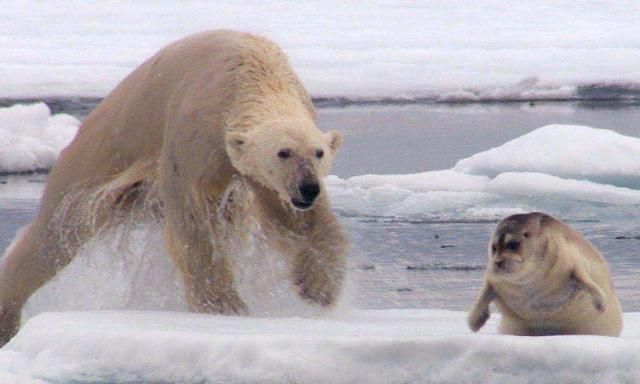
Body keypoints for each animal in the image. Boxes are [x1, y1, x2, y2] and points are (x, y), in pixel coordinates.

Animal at [0, 30, 348, 344]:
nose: (308, 188)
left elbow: (299, 221)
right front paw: (225, 307)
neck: (251, 74)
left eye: (319, 153)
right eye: (283, 152)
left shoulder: (262, 175)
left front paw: (319, 287)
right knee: (54, 233)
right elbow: (194, 220)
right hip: (102, 153)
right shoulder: (195, 132)